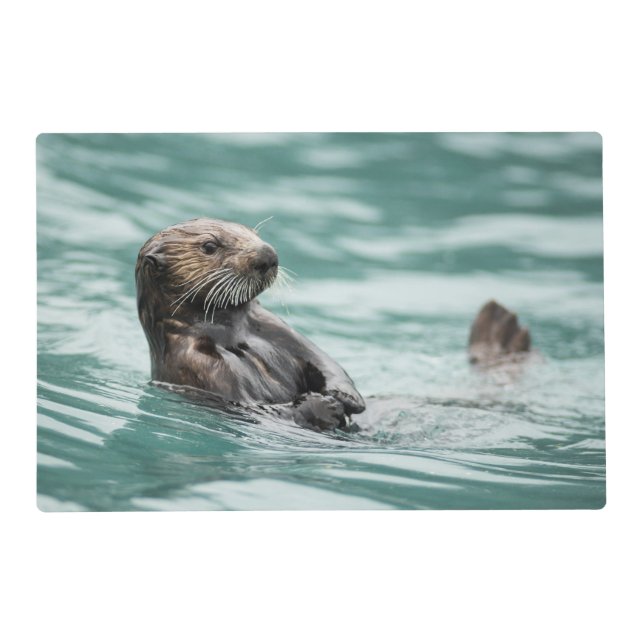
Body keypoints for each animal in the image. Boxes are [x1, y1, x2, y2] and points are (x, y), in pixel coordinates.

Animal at [135, 218, 531, 432]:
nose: (267, 255)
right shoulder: (198, 365)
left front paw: (345, 396)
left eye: (251, 231)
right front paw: (324, 407)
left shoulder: (274, 327)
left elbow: (325, 361)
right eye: (209, 246)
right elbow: (259, 408)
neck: (233, 334)